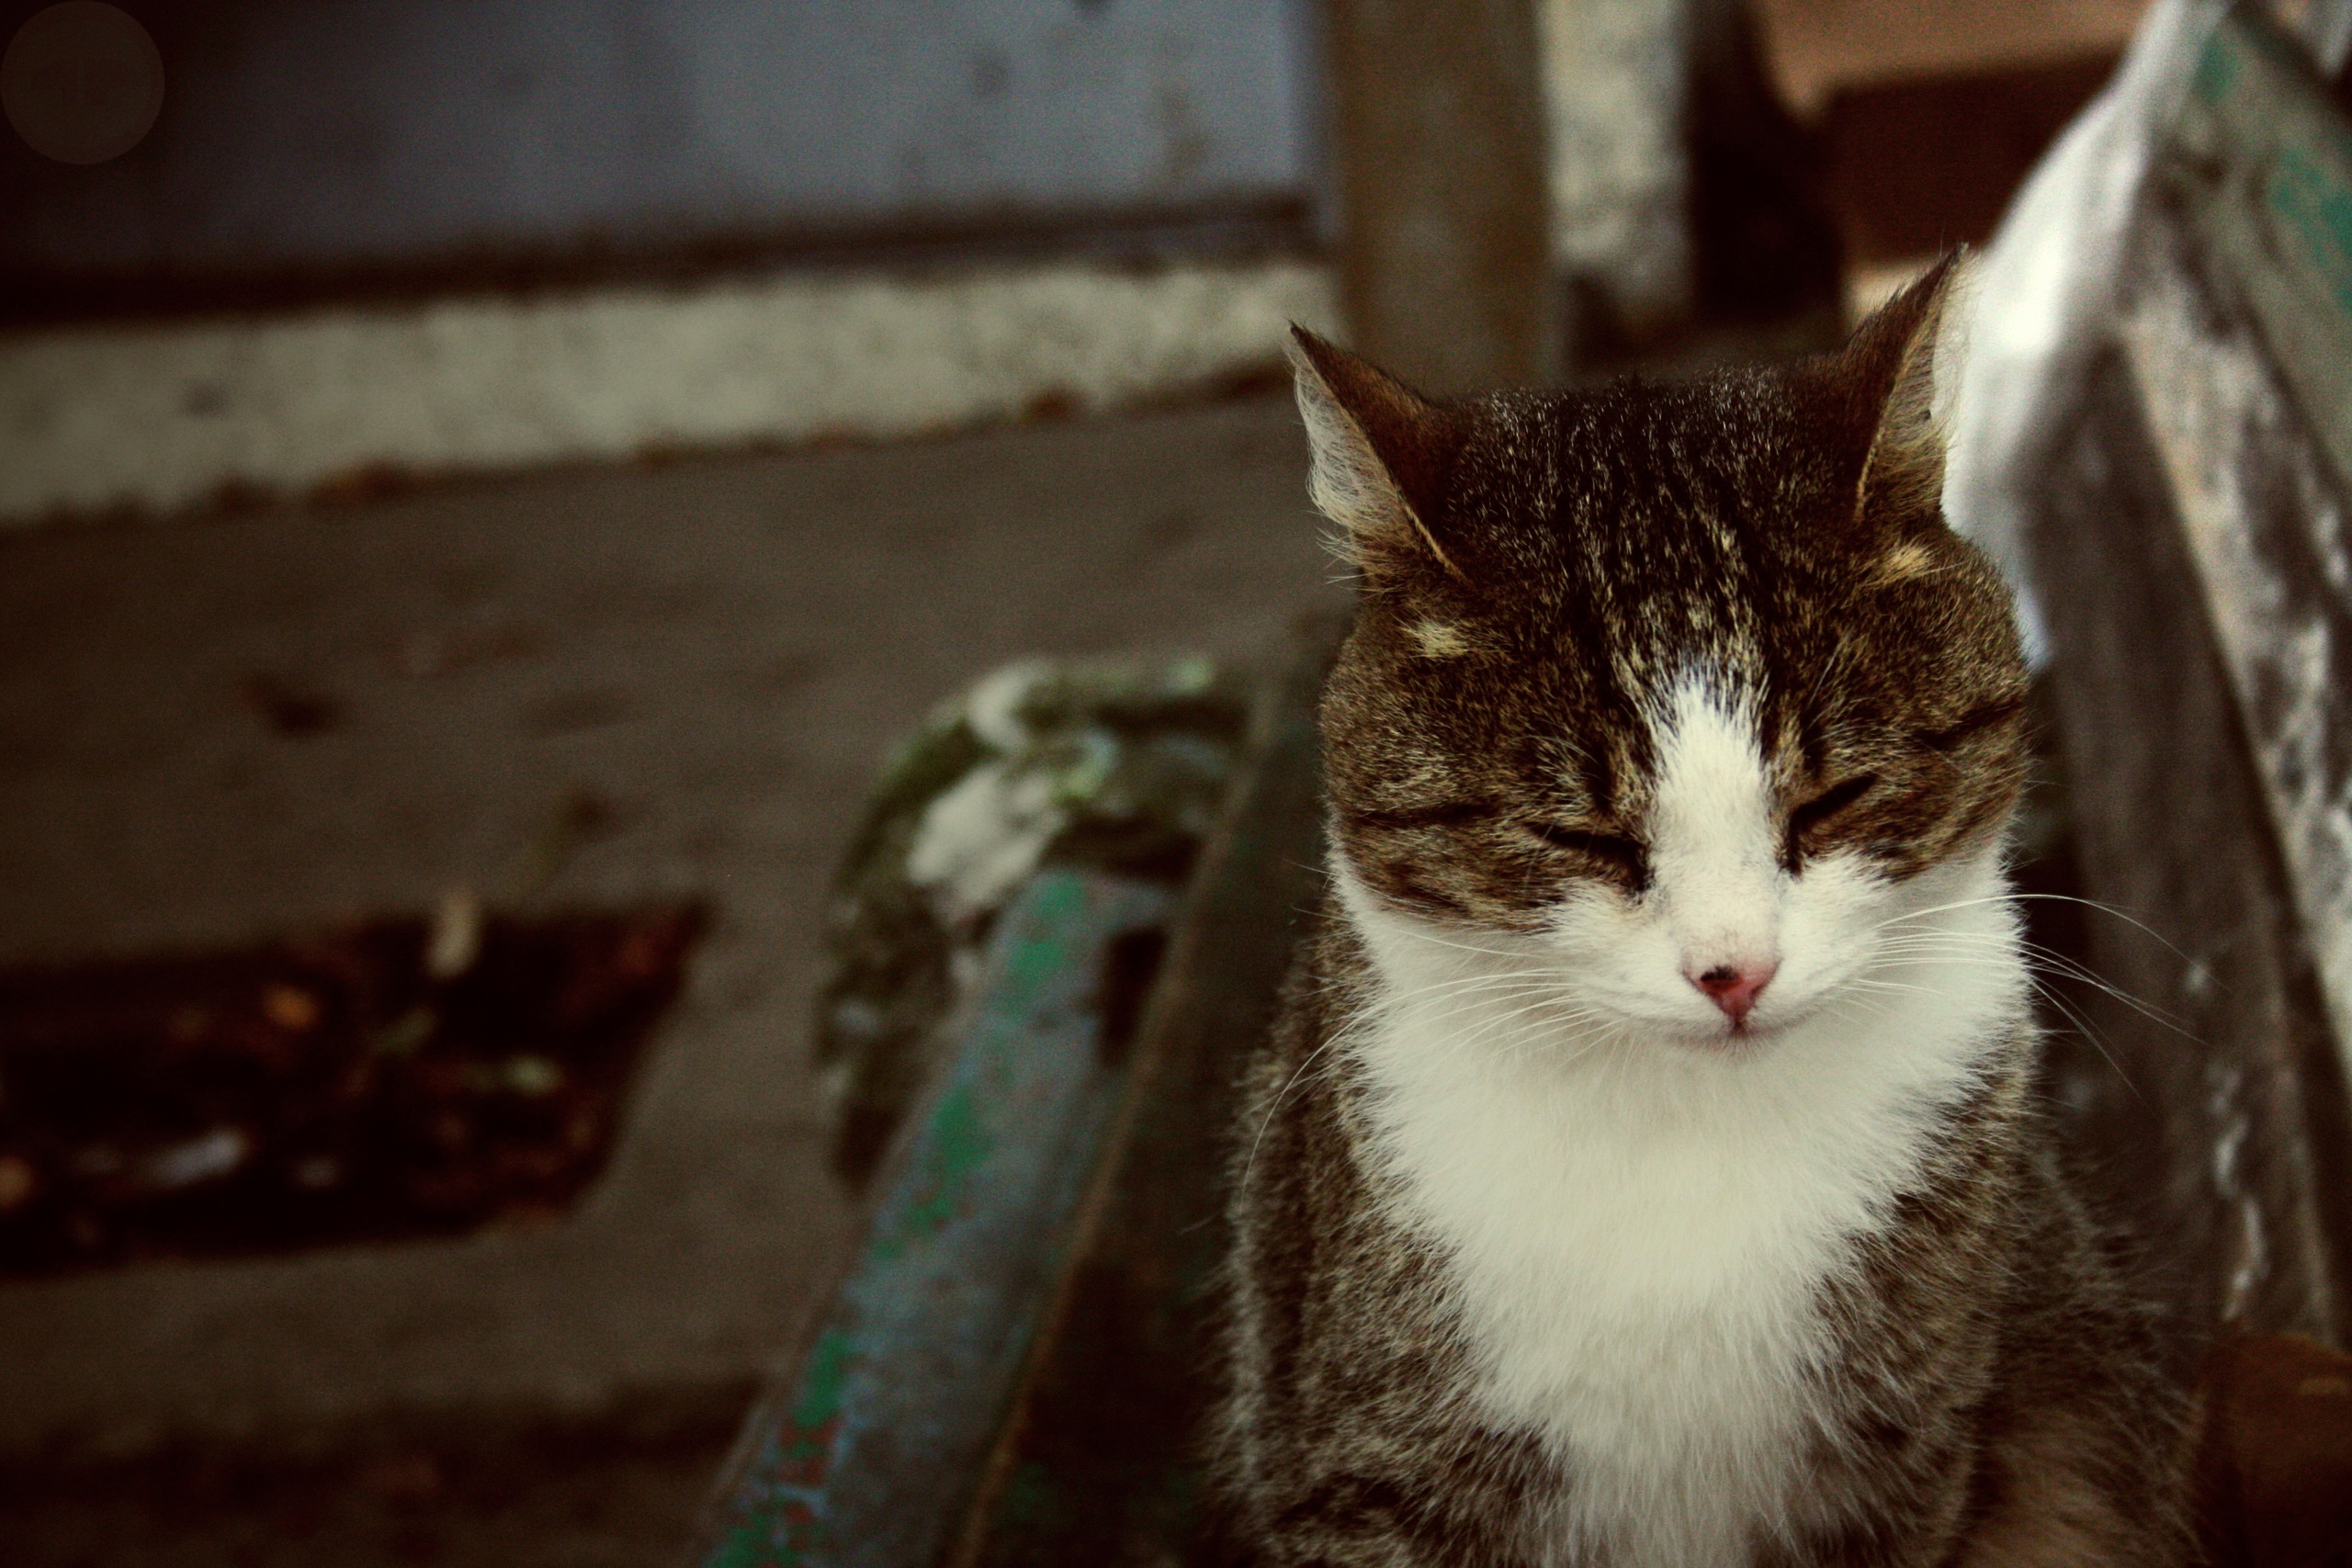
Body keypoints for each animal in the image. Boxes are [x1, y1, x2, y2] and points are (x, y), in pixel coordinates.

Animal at [1223, 261, 2191, 1568]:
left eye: (1835, 798)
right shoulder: (1370, 1460)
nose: (1734, 971)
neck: (1695, 1139)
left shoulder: (1900, 1455)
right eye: (1580, 837)